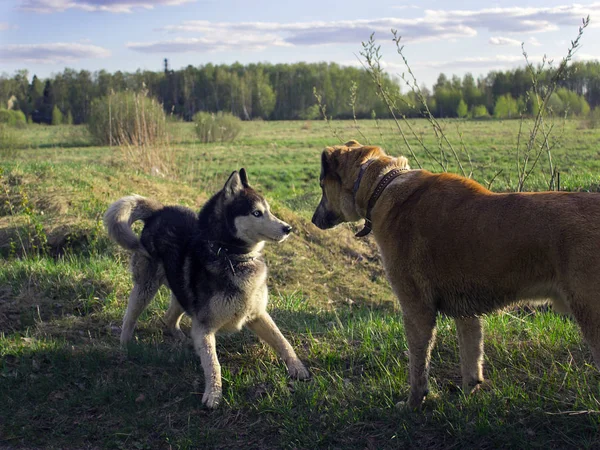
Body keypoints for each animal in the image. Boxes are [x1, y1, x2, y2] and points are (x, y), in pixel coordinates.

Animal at [105, 169, 310, 408]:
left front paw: (298, 368)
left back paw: (182, 339)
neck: (231, 256)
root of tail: (159, 211)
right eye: (256, 213)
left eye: (268, 210)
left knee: (169, 318)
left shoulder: (257, 314)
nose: (288, 228)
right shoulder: (204, 327)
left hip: (181, 291)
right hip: (145, 287)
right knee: (130, 317)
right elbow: (213, 363)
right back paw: (125, 346)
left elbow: (282, 341)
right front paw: (213, 394)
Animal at [312, 140, 600, 408]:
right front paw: (467, 391)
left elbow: (418, 365)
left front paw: (413, 403)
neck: (382, 186)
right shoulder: (466, 312)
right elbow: (471, 358)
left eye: (321, 186)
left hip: (590, 314)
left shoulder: (416, 309)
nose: (314, 219)